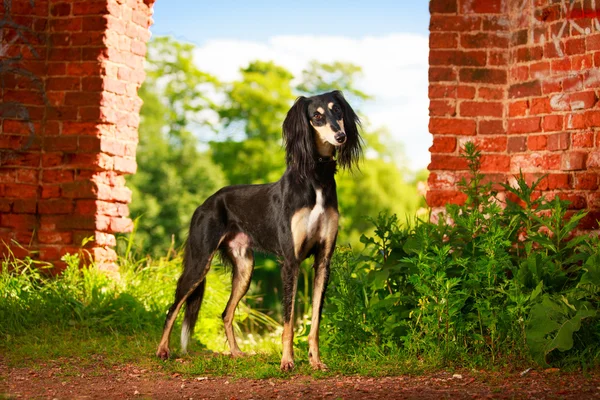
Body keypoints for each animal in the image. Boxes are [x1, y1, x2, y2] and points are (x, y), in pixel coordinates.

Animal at [156, 90, 360, 372]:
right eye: (316, 116)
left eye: (337, 110)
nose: (340, 136)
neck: (315, 178)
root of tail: (205, 202)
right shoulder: (290, 261)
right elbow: (288, 320)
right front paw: (287, 361)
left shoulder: (323, 261)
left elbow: (316, 321)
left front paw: (315, 361)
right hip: (199, 262)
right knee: (172, 307)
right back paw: (162, 350)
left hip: (245, 267)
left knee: (226, 312)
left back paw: (236, 353)